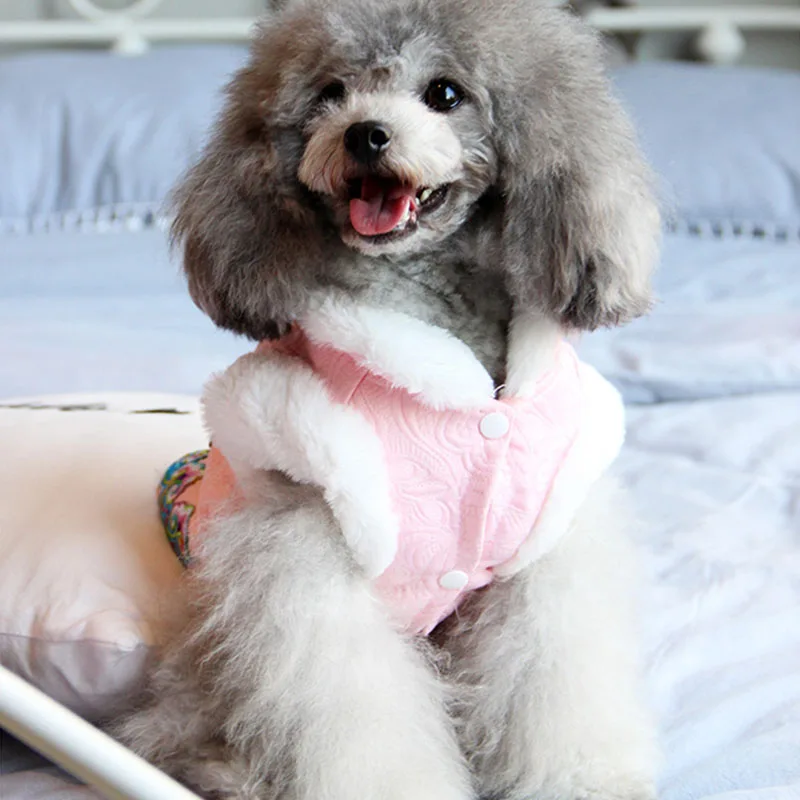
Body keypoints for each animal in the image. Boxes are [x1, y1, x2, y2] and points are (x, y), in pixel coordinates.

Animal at [113, 1, 661, 798]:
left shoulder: (541, 559)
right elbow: (357, 717)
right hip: (208, 665)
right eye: (331, 93)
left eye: (445, 94)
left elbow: (552, 683)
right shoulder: (305, 553)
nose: (364, 133)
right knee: (184, 730)